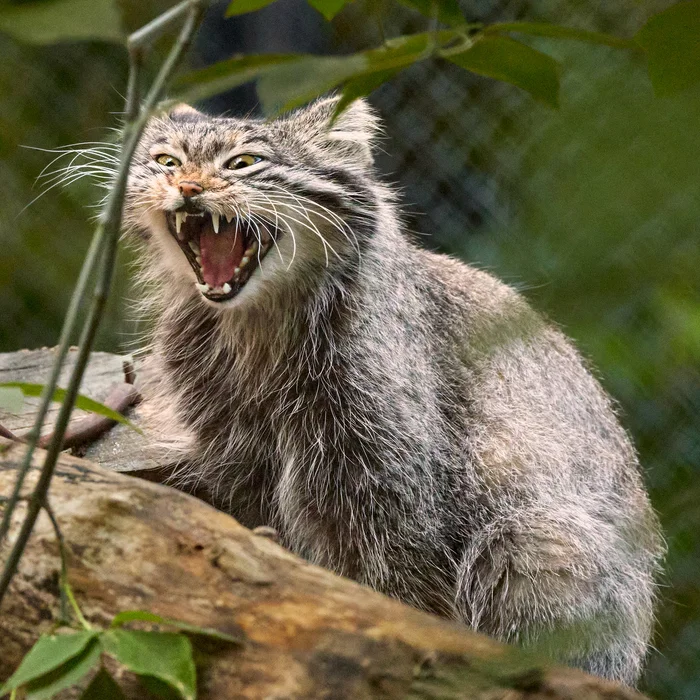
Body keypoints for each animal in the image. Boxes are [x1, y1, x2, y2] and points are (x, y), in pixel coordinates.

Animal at [123, 97, 664, 684]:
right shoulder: (240, 461)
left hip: (534, 538)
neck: (256, 330)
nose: (187, 187)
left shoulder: (390, 489)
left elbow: (394, 591)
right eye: (166, 160)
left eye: (244, 162)